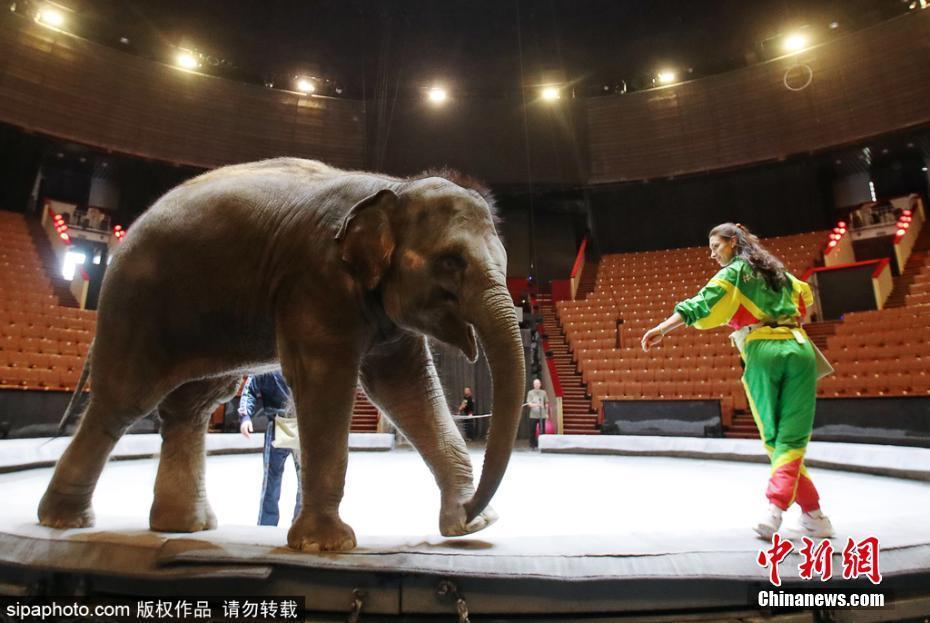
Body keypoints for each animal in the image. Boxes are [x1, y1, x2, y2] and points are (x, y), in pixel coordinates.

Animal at [36, 158, 524, 552]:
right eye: (451, 261)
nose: (475, 505)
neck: (394, 188)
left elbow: (408, 388)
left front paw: (472, 526)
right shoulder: (316, 279)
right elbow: (326, 380)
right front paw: (326, 545)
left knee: (191, 407)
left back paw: (184, 527)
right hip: (136, 305)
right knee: (123, 401)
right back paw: (65, 521)